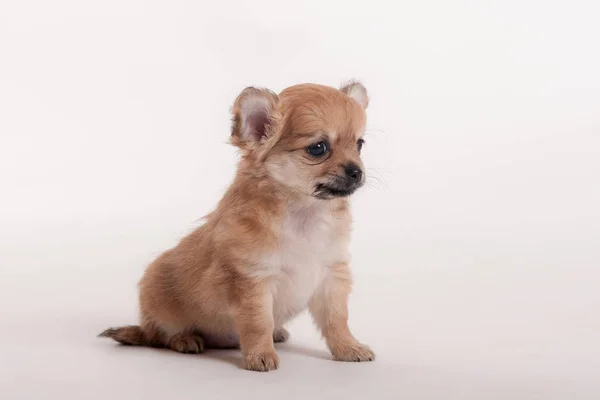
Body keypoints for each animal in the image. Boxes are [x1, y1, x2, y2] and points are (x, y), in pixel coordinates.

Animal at [101, 81, 376, 372]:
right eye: (318, 148)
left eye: (359, 144)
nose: (357, 171)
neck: (304, 213)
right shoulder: (253, 281)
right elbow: (258, 323)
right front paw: (260, 356)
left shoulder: (331, 276)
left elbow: (337, 320)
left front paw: (348, 348)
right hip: (159, 305)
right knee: (162, 336)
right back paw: (186, 339)